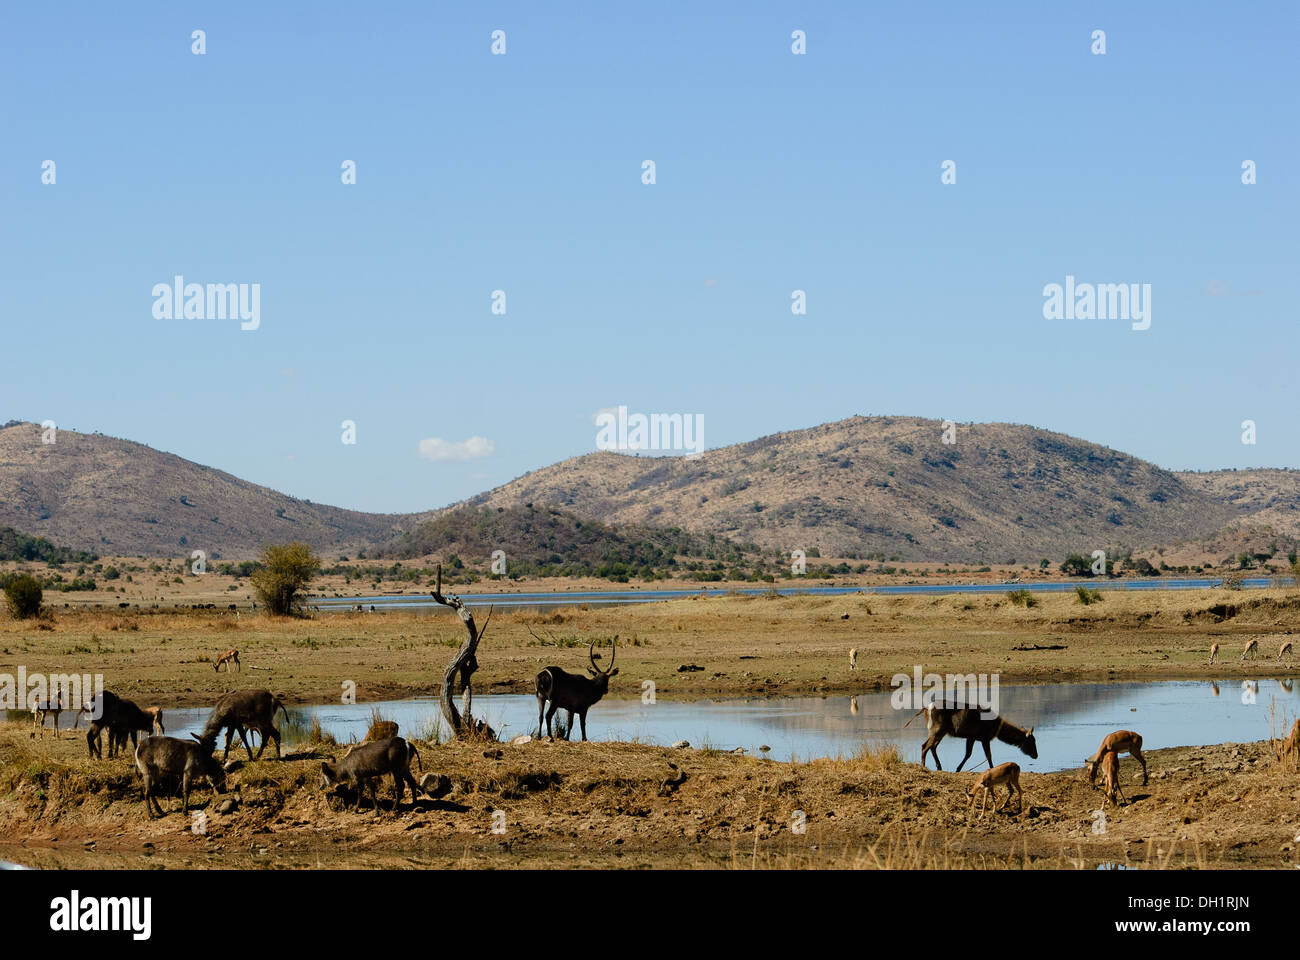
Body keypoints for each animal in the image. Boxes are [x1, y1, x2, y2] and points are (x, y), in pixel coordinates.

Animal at [909, 702, 1040, 770]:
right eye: (1031, 741)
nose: (1036, 755)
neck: (996, 728)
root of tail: (925, 709)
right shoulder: (984, 737)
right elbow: (988, 755)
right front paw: (991, 768)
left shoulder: (971, 737)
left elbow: (968, 754)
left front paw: (958, 768)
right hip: (937, 729)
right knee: (925, 746)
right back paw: (924, 766)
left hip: (940, 731)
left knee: (931, 746)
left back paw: (938, 766)